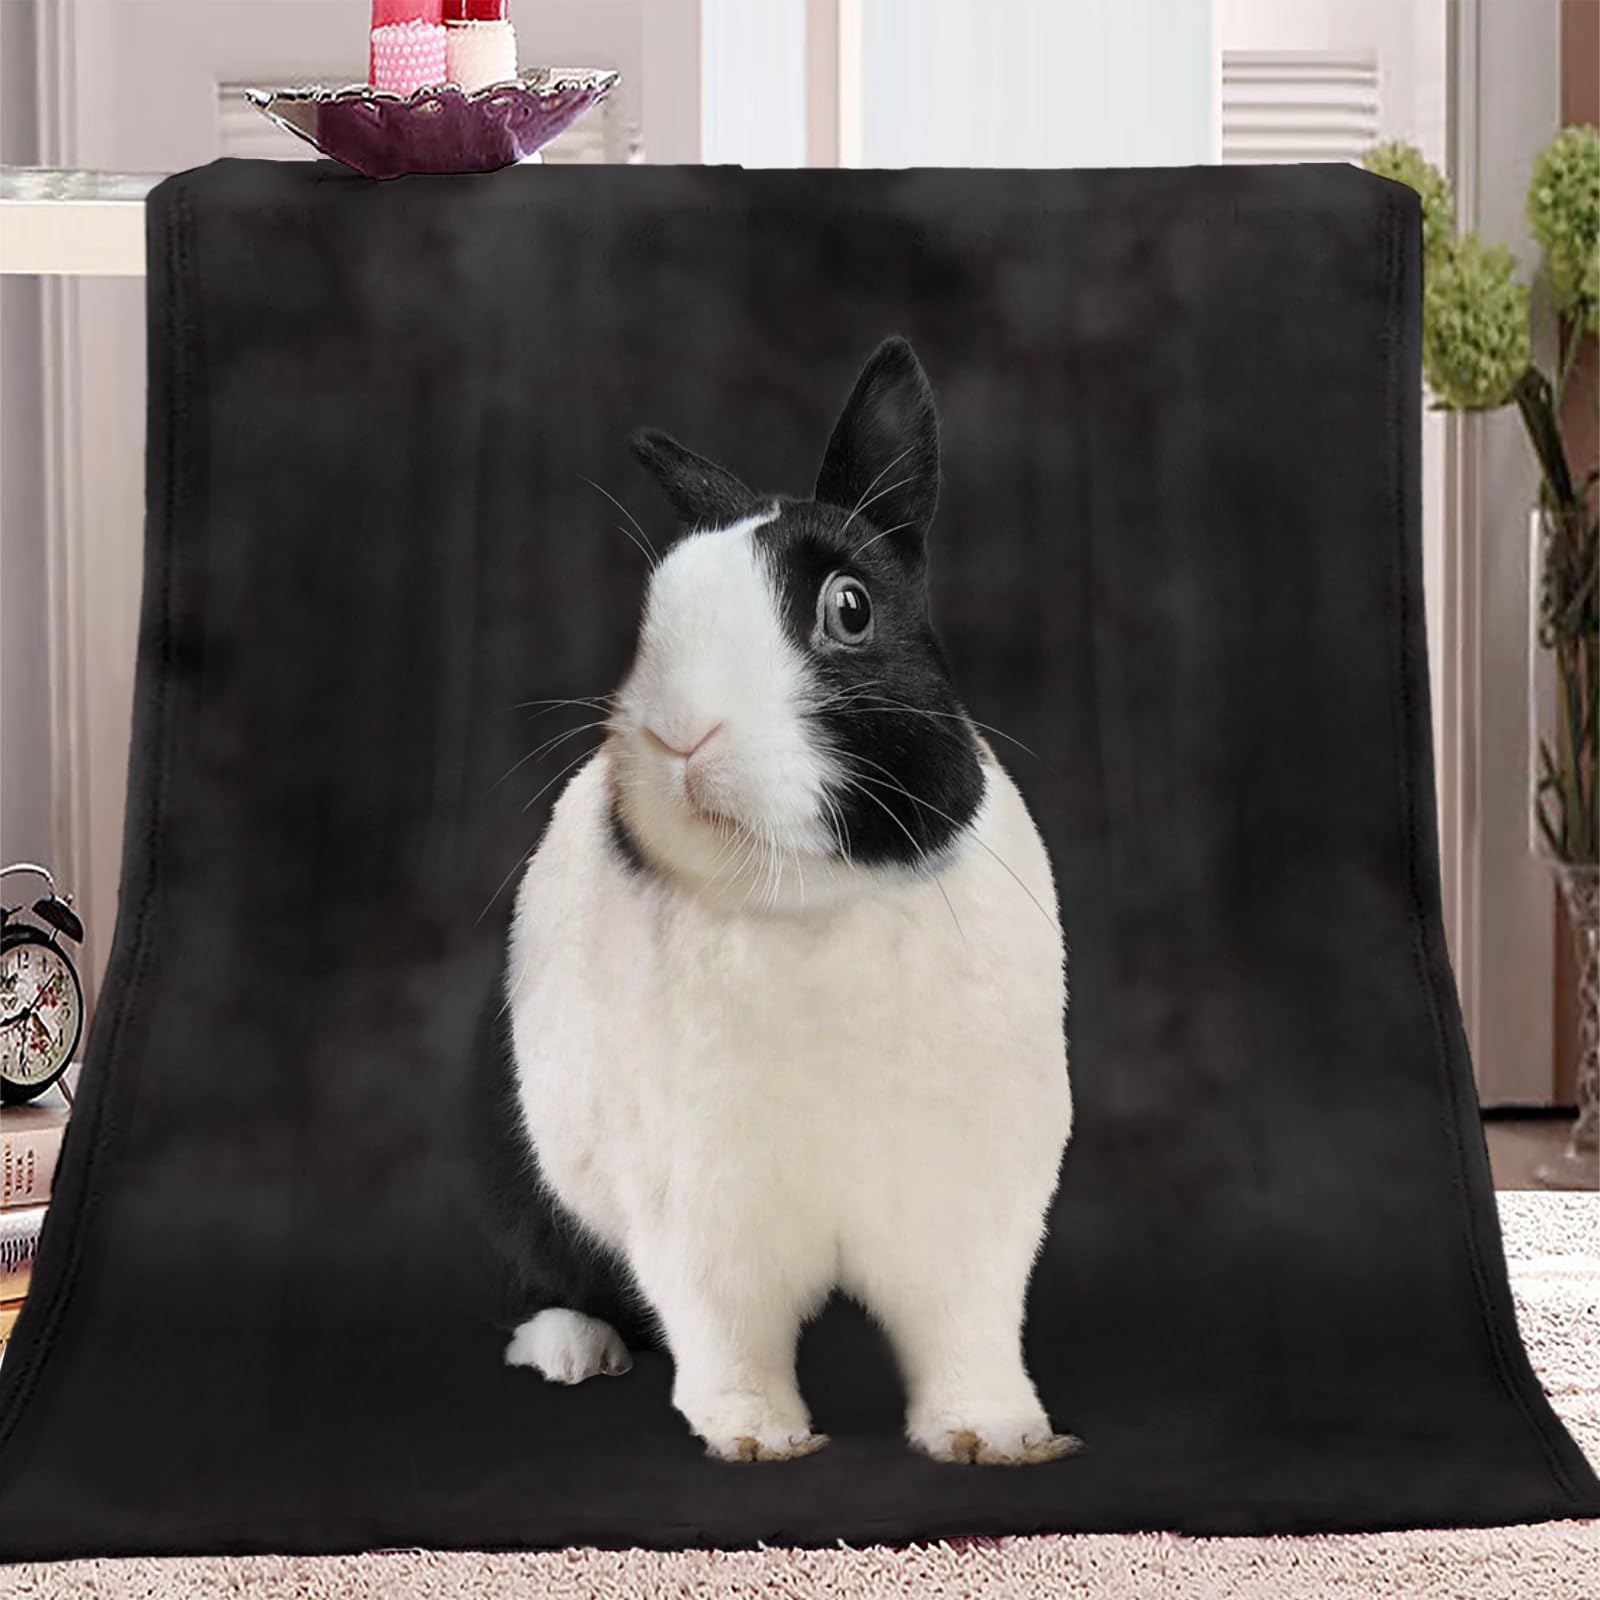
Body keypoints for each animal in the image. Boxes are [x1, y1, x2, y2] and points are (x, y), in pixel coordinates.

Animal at [478, 337, 1074, 1466]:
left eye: (849, 607)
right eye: (656, 611)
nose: (679, 731)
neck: (807, 899)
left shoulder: (969, 1198)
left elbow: (967, 1324)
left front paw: (995, 1433)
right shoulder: (700, 1204)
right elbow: (725, 1329)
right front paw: (757, 1437)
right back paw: (571, 1348)